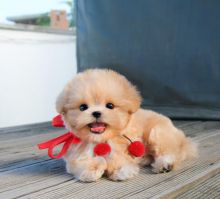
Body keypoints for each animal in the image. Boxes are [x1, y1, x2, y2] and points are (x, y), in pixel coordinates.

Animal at [56, 69, 198, 182]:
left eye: (110, 106)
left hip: (158, 133)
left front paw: (120, 171)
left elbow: (119, 160)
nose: (96, 112)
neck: (100, 140)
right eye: (83, 107)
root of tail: (184, 140)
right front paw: (92, 169)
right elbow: (83, 162)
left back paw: (165, 164)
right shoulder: (76, 153)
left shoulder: (123, 149)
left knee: (171, 151)